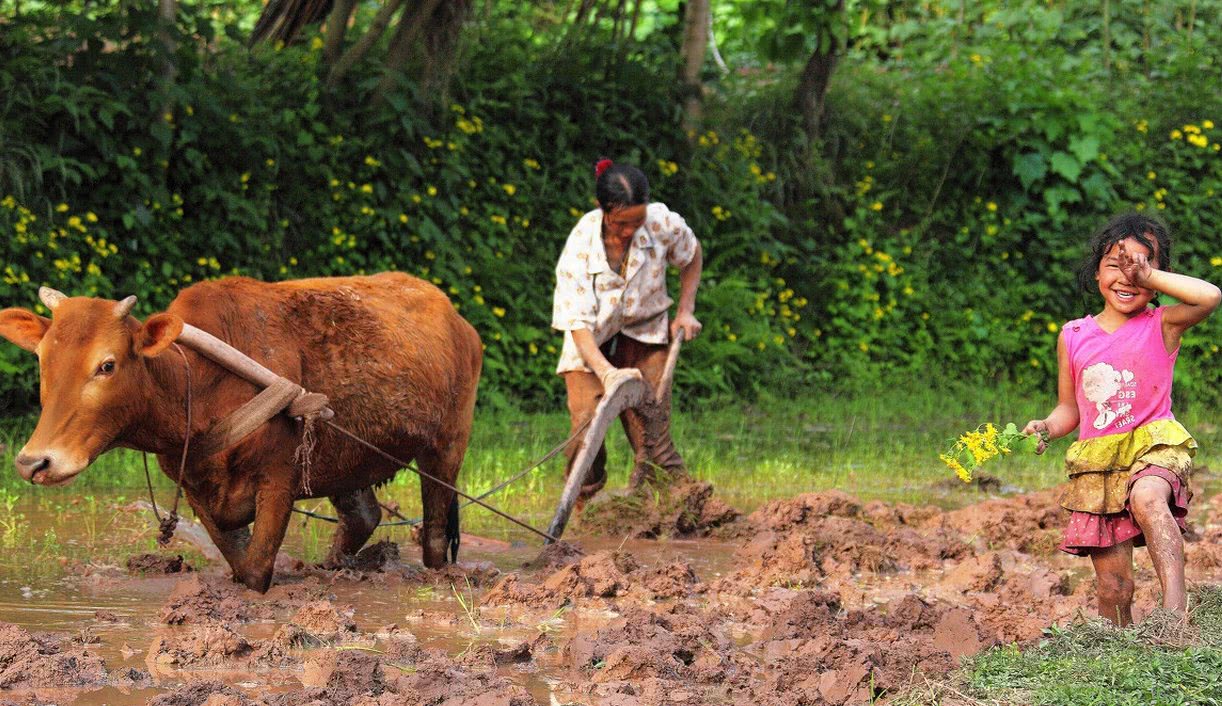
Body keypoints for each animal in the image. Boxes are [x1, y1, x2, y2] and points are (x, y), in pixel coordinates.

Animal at [0, 272, 483, 591]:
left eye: (107, 364)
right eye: (42, 360)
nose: (34, 462)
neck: (198, 385)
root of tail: (458, 320)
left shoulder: (277, 481)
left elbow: (255, 571)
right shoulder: (196, 487)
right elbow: (236, 560)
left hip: (447, 447)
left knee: (435, 531)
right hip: (346, 457)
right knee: (363, 515)